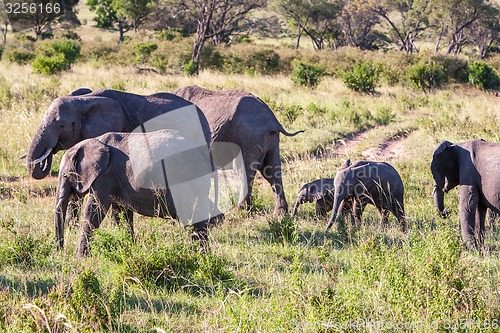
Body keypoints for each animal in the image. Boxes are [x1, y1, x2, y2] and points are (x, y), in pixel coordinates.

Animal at [53, 128, 223, 255]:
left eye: (64, 175)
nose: (59, 252)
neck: (92, 141)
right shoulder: (117, 178)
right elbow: (120, 213)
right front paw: (129, 250)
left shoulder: (104, 176)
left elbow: (95, 210)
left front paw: (80, 258)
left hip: (187, 179)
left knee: (192, 219)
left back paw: (200, 256)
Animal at [172, 85, 304, 214]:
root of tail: (273, 121)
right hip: (270, 140)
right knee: (272, 170)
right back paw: (280, 214)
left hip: (249, 138)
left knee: (245, 171)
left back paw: (239, 210)